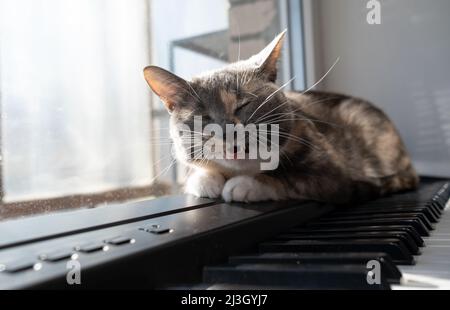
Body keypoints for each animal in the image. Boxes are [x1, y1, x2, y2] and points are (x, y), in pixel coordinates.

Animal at [143, 30, 418, 205]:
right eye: (204, 116)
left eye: (243, 104)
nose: (228, 133)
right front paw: (206, 180)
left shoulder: (332, 173)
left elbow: (291, 178)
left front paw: (247, 184)